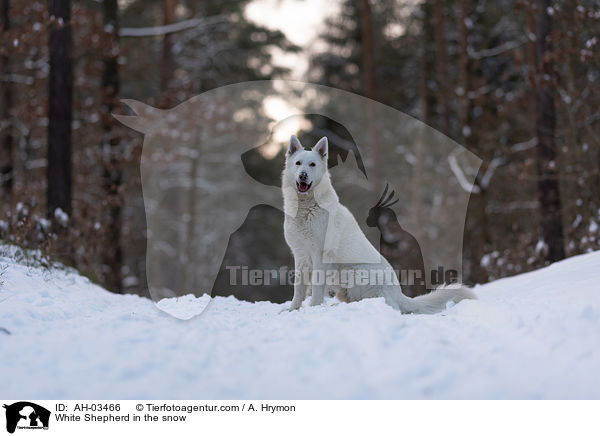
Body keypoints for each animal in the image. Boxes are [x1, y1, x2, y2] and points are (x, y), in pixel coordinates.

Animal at [284, 135, 476, 312]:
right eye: (298, 163)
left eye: (312, 165)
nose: (303, 175)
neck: (307, 207)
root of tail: (399, 295)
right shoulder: (300, 256)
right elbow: (298, 289)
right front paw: (292, 309)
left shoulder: (320, 255)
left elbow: (316, 288)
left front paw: (313, 308)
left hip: (355, 272)